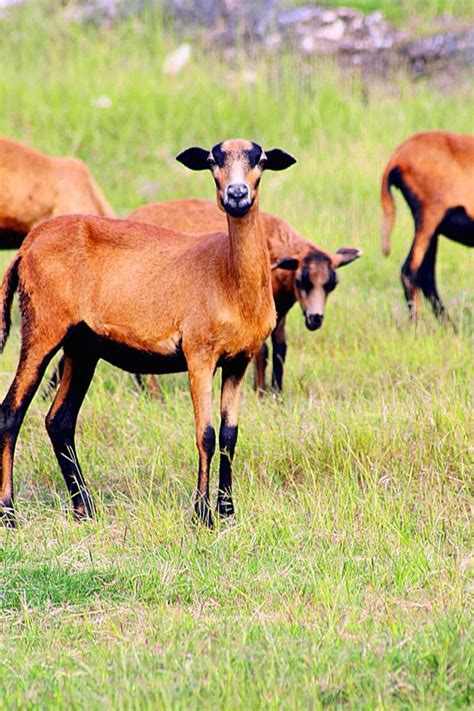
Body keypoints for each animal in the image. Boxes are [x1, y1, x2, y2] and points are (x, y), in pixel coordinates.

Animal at [0, 139, 296, 528]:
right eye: (212, 159)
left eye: (259, 159)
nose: (236, 194)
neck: (229, 278)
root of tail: (27, 246)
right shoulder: (199, 354)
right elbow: (206, 434)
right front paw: (202, 516)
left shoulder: (239, 361)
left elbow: (230, 437)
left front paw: (229, 512)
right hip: (42, 329)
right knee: (11, 413)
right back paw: (9, 513)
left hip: (83, 346)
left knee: (59, 421)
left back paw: (85, 509)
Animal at [128, 200, 362, 394]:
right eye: (300, 281)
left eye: (332, 285)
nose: (315, 319)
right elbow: (262, 352)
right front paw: (261, 392)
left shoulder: (280, 312)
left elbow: (280, 350)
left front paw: (277, 393)